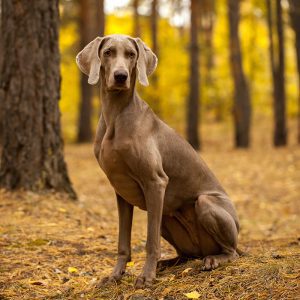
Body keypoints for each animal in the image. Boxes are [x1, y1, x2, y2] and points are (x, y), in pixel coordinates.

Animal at [77, 34, 239, 288]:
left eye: (131, 54)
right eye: (108, 52)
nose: (121, 76)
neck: (116, 114)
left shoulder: (155, 182)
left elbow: (150, 242)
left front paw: (146, 276)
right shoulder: (121, 190)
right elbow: (122, 243)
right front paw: (115, 275)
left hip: (202, 203)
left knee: (230, 251)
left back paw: (213, 260)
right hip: (165, 216)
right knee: (187, 254)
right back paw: (169, 263)